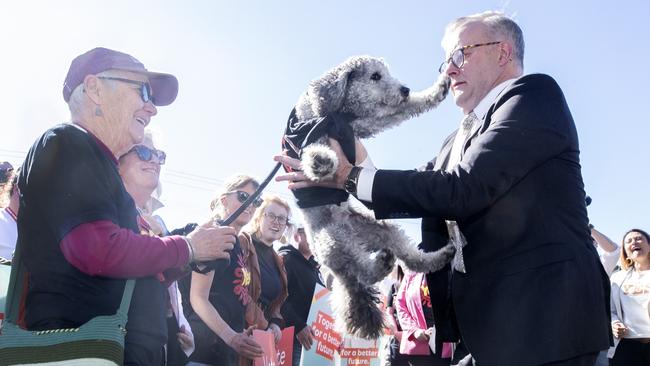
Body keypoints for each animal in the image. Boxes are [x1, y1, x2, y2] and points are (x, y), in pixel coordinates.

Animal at [280, 55, 454, 338]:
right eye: (375, 76)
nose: (404, 89)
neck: (332, 113)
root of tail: (353, 236)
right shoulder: (307, 135)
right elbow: (310, 151)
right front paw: (321, 162)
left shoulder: (357, 125)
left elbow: (399, 112)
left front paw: (436, 91)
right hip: (333, 242)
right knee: (362, 273)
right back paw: (381, 263)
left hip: (382, 230)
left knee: (411, 260)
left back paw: (436, 256)